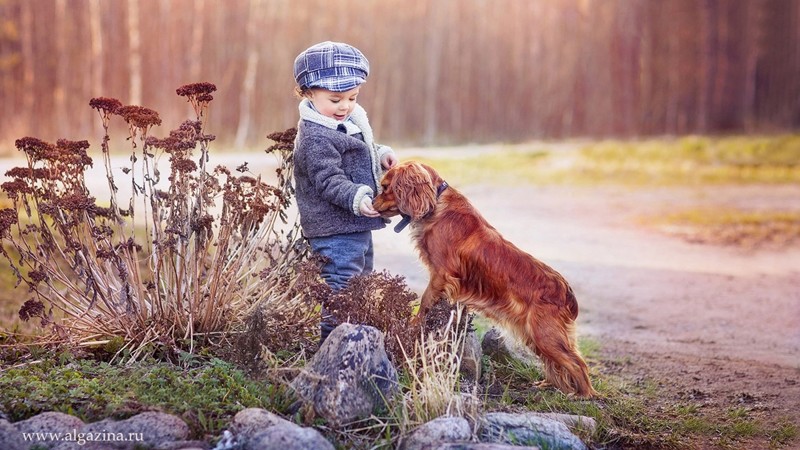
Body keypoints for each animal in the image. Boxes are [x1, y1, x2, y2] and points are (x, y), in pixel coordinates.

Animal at [374, 162, 592, 398]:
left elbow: (424, 303)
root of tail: (566, 289)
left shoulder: (441, 275)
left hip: (544, 334)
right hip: (536, 336)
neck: (437, 203)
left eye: (385, 186)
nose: (372, 201)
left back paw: (582, 395)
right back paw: (549, 386)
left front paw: (413, 325)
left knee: (577, 363)